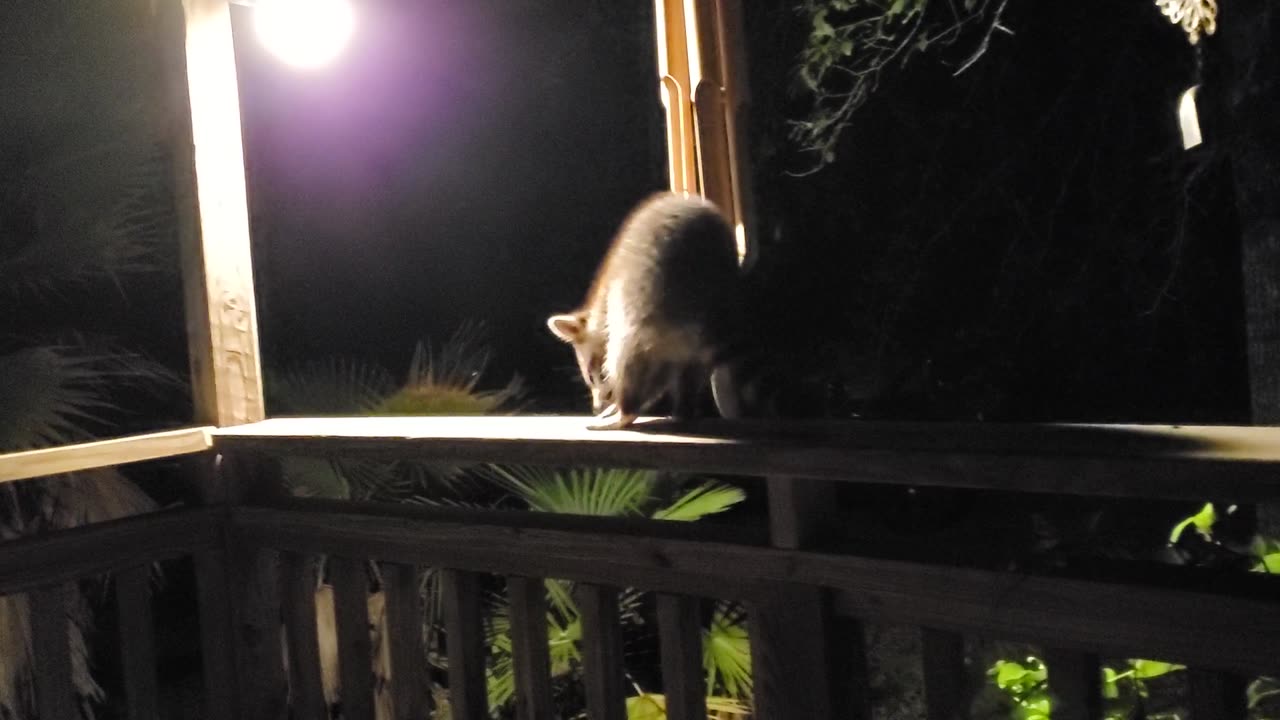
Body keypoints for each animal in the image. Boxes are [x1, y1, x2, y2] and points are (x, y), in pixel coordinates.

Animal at [548, 192, 751, 429]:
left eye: (592, 375)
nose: (597, 406)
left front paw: (615, 402)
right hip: (704, 332)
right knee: (690, 372)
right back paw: (683, 411)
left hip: (646, 312)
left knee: (627, 354)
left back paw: (626, 411)